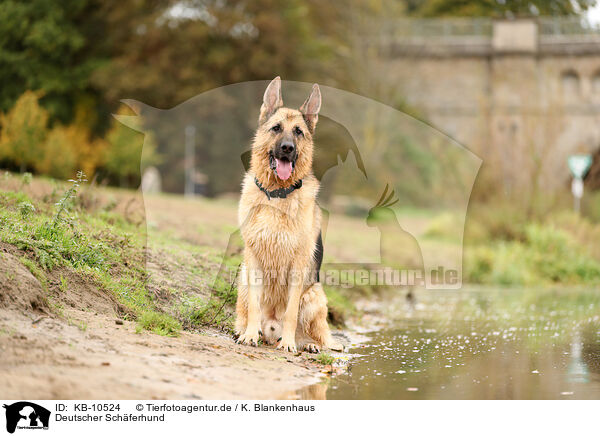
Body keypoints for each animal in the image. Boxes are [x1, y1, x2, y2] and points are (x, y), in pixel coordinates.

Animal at [234, 76, 340, 352]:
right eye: (276, 128)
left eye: (298, 132)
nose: (287, 148)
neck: (277, 195)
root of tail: (273, 330)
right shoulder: (254, 261)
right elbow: (254, 306)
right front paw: (250, 335)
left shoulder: (297, 267)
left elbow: (291, 311)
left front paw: (289, 344)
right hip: (242, 278)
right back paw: (245, 331)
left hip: (315, 295)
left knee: (318, 336)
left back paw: (305, 344)